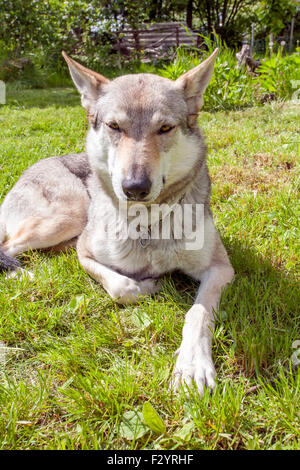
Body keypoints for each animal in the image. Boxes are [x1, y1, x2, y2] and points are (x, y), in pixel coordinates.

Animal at [0, 48, 234, 392]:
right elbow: (122, 288)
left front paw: (193, 365)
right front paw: (148, 285)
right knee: (8, 248)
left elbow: (197, 313)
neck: (146, 224)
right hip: (68, 216)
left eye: (165, 128)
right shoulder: (85, 253)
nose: (134, 187)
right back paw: (23, 274)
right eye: (114, 126)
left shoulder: (220, 268)